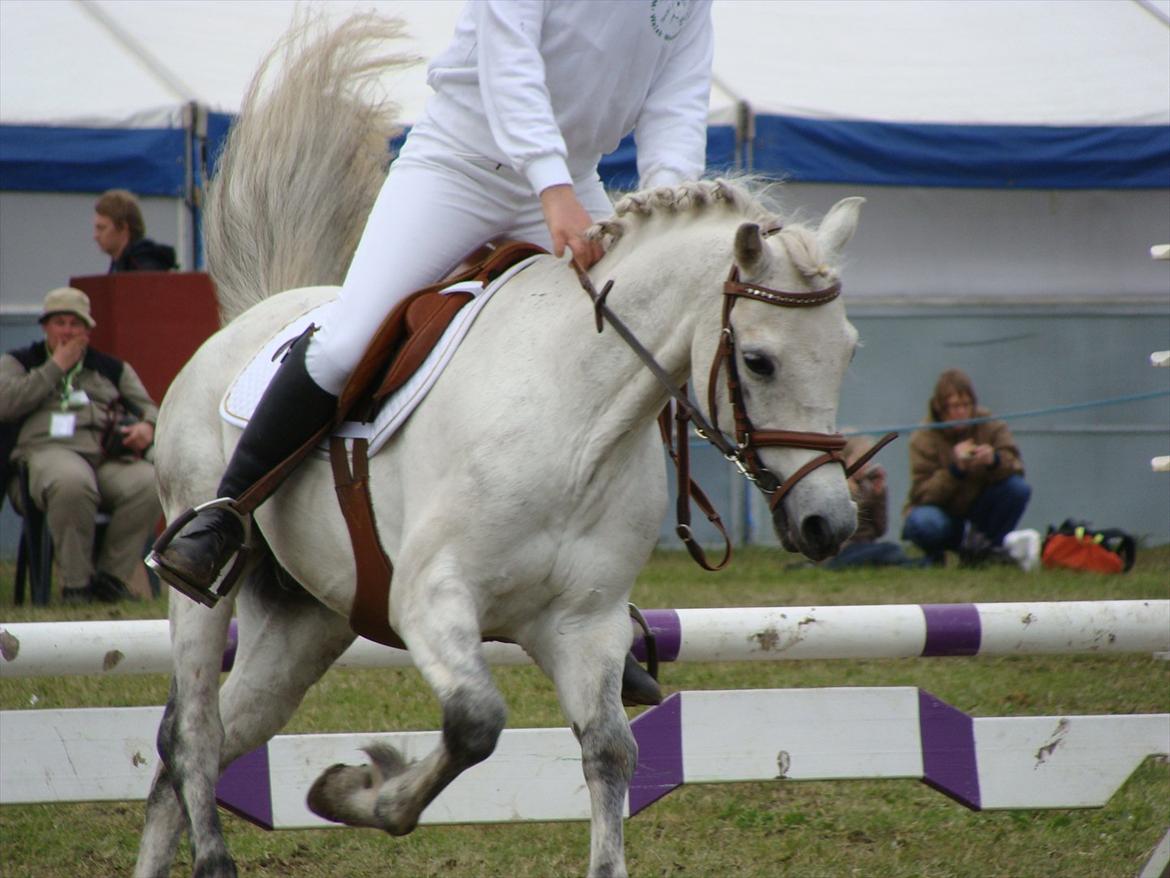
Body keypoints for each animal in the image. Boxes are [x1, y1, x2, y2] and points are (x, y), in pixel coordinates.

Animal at [134, 15, 866, 878]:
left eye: (848, 352)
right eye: (758, 360)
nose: (830, 523)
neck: (577, 421)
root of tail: (253, 316)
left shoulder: (586, 626)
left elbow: (609, 754)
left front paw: (356, 787)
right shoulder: (431, 599)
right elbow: (477, 722)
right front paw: (359, 791)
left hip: (304, 624)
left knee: (198, 750)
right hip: (202, 582)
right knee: (193, 733)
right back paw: (216, 849)